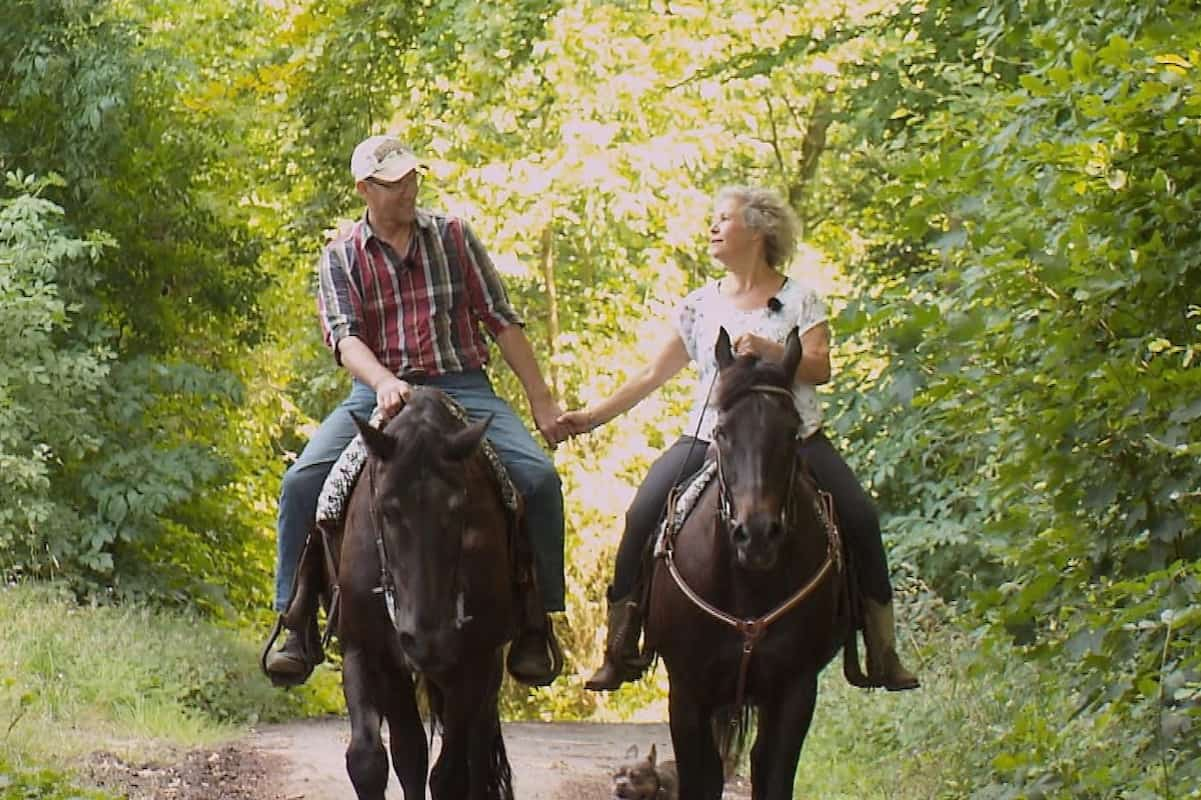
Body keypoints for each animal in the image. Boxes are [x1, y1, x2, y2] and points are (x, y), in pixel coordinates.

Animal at [343, 389, 521, 797]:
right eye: (387, 510)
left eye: (458, 510)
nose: (427, 641)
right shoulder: (364, 645)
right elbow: (379, 759)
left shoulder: (476, 657)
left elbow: (450, 772)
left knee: (474, 749)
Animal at [643, 326, 850, 797]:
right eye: (721, 431)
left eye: (792, 432)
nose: (756, 535)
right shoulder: (687, 694)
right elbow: (700, 778)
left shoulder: (795, 692)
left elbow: (771, 778)